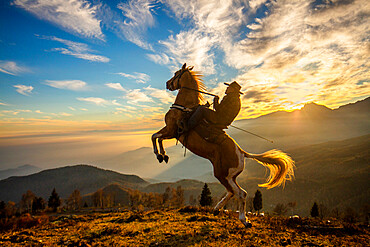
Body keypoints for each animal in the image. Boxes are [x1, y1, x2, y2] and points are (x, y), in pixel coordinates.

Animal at [151, 63, 294, 228]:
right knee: (233, 192)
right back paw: (217, 209)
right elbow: (158, 138)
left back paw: (244, 220)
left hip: (223, 175)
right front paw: (163, 155)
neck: (185, 107)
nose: (167, 84)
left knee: (241, 193)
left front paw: (159, 154)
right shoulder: (170, 132)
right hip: (228, 176)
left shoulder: (171, 130)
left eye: (176, 73)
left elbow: (154, 137)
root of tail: (242, 153)